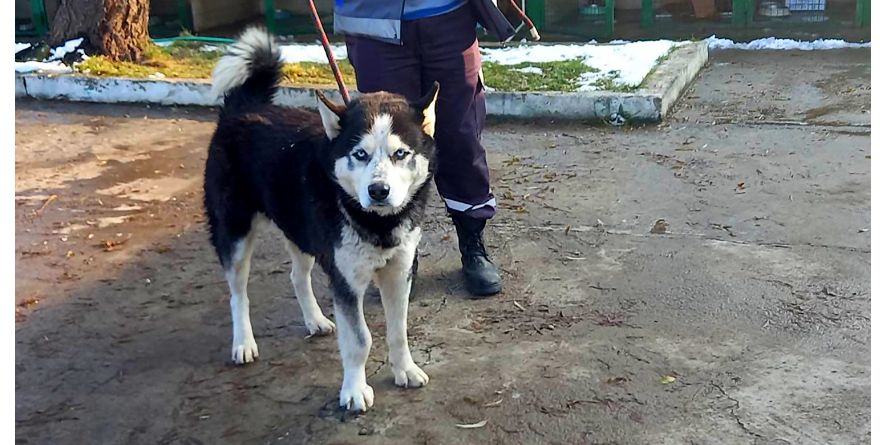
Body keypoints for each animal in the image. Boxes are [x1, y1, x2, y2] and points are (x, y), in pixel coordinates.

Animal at [202, 27, 438, 412]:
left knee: (297, 277)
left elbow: (398, 330)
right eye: (360, 154)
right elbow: (359, 340)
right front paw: (354, 390)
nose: (379, 190)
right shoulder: (346, 280)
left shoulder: (399, 272)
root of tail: (243, 108)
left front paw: (405, 369)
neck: (377, 222)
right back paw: (243, 343)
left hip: (301, 232)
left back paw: (314, 320)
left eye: (400, 153)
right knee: (238, 295)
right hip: (235, 234)